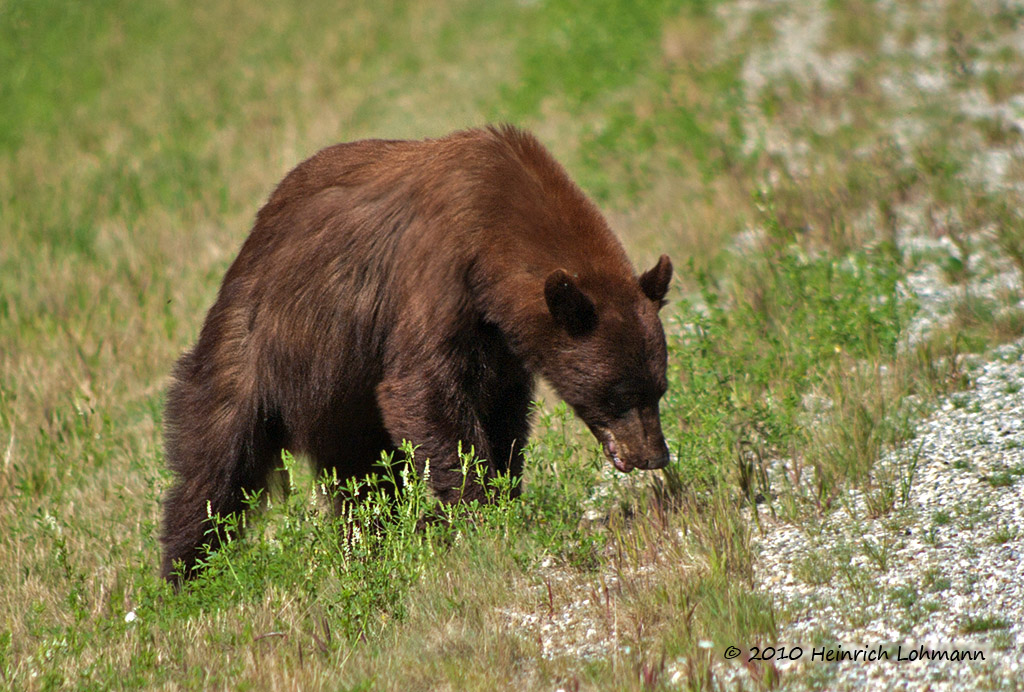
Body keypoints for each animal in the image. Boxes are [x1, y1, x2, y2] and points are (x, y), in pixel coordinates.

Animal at [159, 125, 671, 585]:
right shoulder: (436, 278)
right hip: (255, 347)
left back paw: (372, 544)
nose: (655, 456)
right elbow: (422, 391)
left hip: (341, 400)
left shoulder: (500, 344)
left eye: (659, 389)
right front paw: (483, 517)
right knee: (214, 463)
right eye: (618, 394)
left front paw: (502, 495)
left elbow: (503, 415)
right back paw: (184, 579)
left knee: (360, 477)